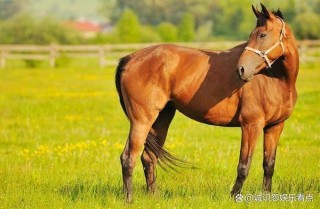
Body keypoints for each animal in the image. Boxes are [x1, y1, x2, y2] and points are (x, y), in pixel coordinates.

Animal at [115, 4, 300, 202]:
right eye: (252, 35)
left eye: (262, 35)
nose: (241, 70)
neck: (275, 79)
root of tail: (130, 58)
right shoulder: (251, 125)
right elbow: (244, 165)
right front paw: (234, 196)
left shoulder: (275, 126)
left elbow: (269, 164)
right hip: (141, 120)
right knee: (128, 157)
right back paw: (129, 199)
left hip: (161, 119)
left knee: (148, 157)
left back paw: (154, 196)